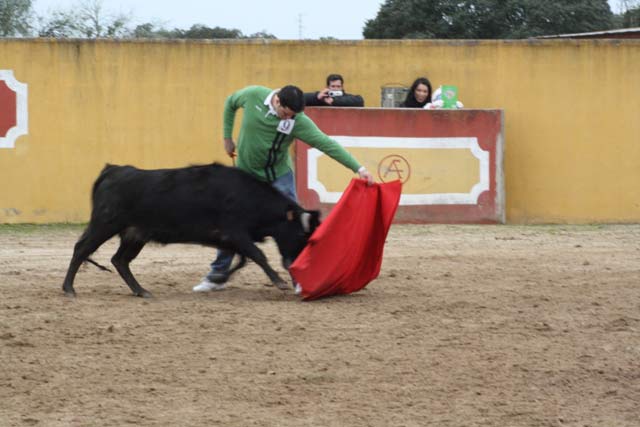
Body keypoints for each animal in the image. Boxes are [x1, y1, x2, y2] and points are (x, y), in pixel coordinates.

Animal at [62, 162, 320, 300]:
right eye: (300, 234)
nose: (294, 263)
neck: (247, 196)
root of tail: (113, 170)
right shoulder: (235, 232)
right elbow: (258, 255)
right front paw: (279, 282)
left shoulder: (230, 239)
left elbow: (243, 259)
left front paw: (218, 278)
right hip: (105, 225)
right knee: (82, 249)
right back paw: (69, 289)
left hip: (135, 234)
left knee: (120, 260)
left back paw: (141, 291)